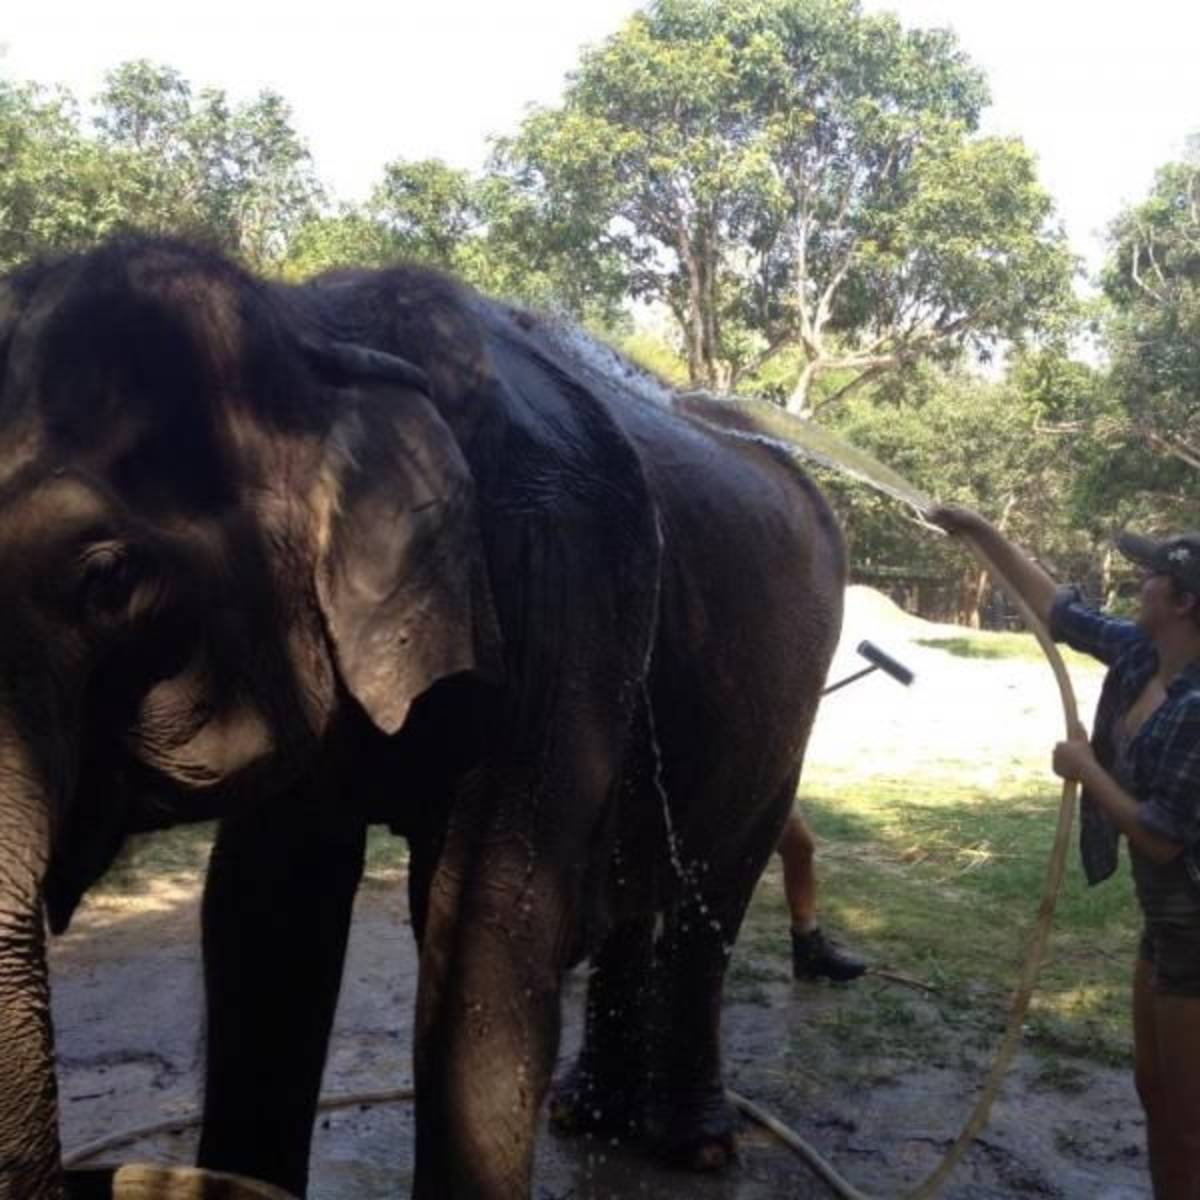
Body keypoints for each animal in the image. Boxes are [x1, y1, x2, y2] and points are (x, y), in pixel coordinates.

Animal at [0, 235, 845, 1199]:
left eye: (108, 579)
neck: (315, 334)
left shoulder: (564, 585)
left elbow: (488, 937)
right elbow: (267, 915)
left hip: (788, 717)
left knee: (719, 889)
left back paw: (695, 1144)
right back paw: (588, 1113)